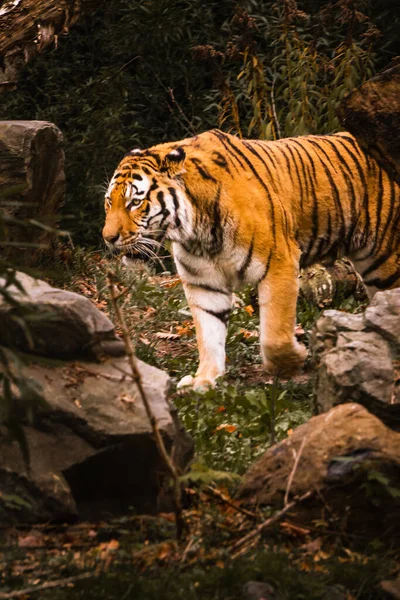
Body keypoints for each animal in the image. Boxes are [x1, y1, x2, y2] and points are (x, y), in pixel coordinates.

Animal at [102, 129, 400, 390]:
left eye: (134, 202)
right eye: (109, 202)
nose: (108, 237)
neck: (195, 231)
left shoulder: (280, 264)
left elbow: (274, 335)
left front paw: (293, 361)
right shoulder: (203, 283)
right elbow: (208, 334)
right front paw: (204, 380)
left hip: (384, 261)